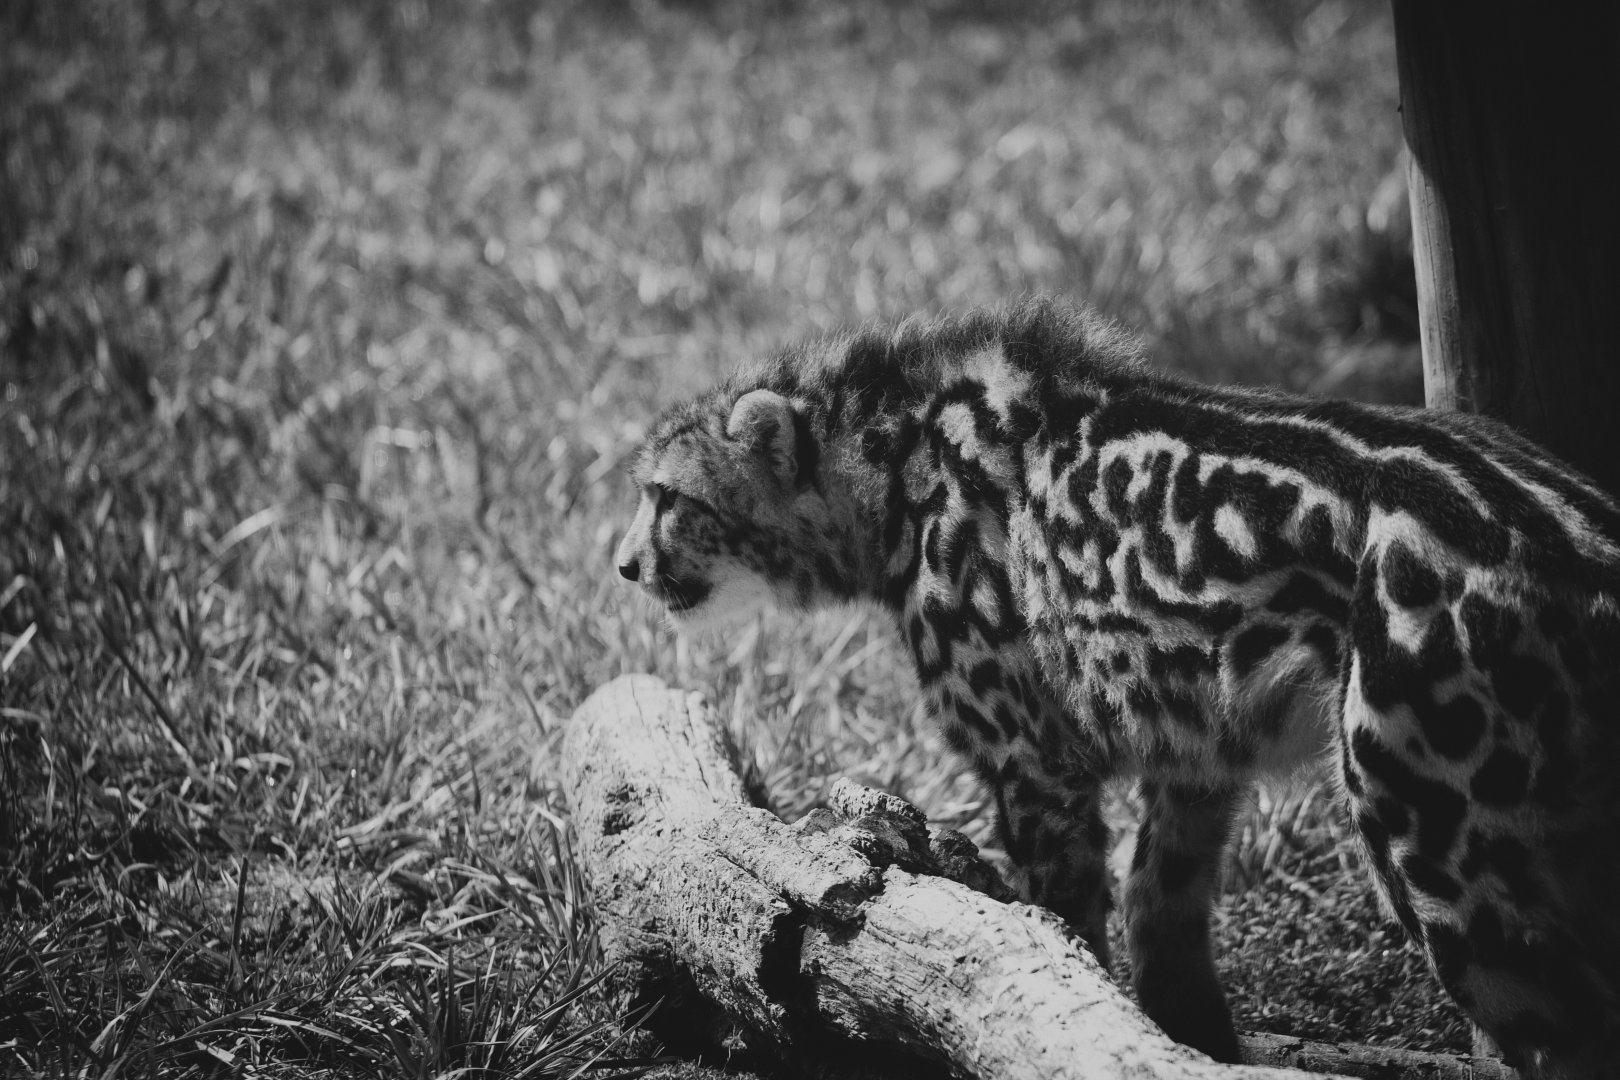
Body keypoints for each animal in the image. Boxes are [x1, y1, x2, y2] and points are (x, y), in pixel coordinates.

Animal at [614, 299, 1620, 1078]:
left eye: (671, 499)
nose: (623, 566)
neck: (891, 461)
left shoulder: (1037, 768)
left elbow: (1062, 933)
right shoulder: (1197, 759)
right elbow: (1160, 929)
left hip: (1439, 848)